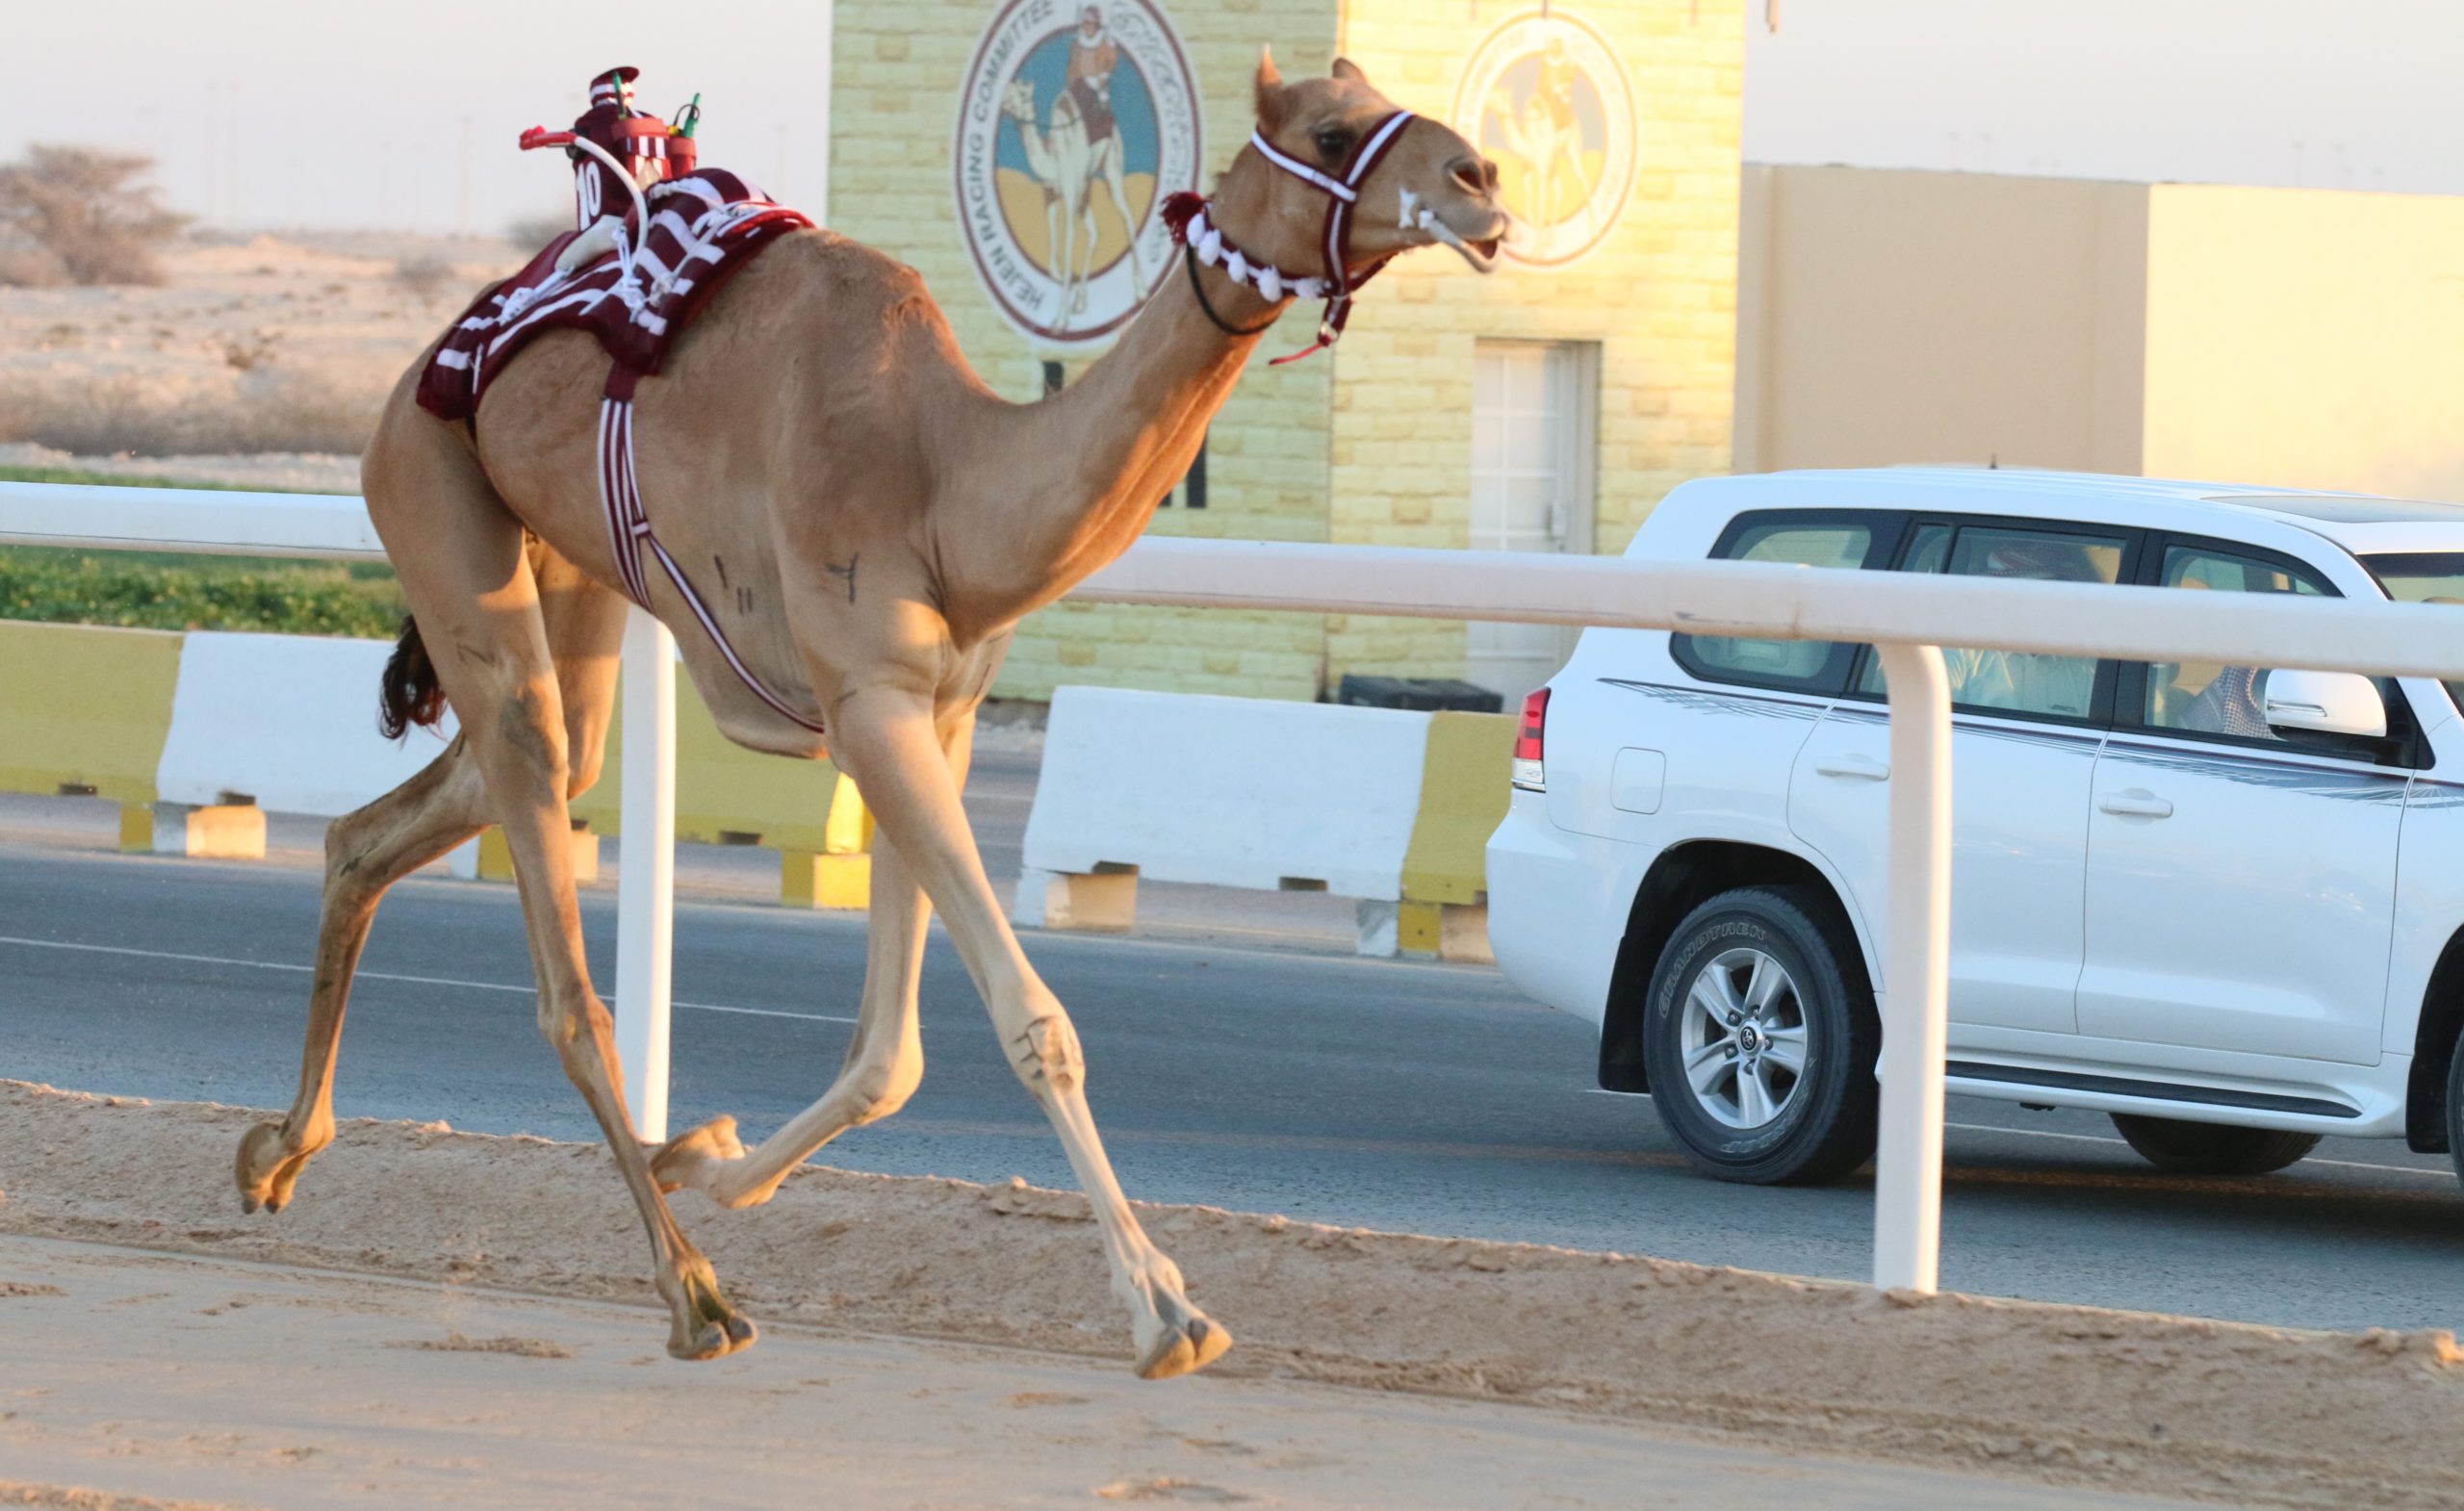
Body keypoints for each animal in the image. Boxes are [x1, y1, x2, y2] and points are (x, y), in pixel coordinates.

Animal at [235, 56, 1498, 1380]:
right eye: (1334, 129)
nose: (1481, 182)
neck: (948, 481)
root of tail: (425, 364)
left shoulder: (932, 715)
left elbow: (891, 1056)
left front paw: (705, 1155)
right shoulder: (871, 703)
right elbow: (1032, 1022)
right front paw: (1164, 1309)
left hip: (561, 560)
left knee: (418, 812)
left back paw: (278, 1150)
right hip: (424, 478)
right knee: (564, 968)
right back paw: (693, 1294)